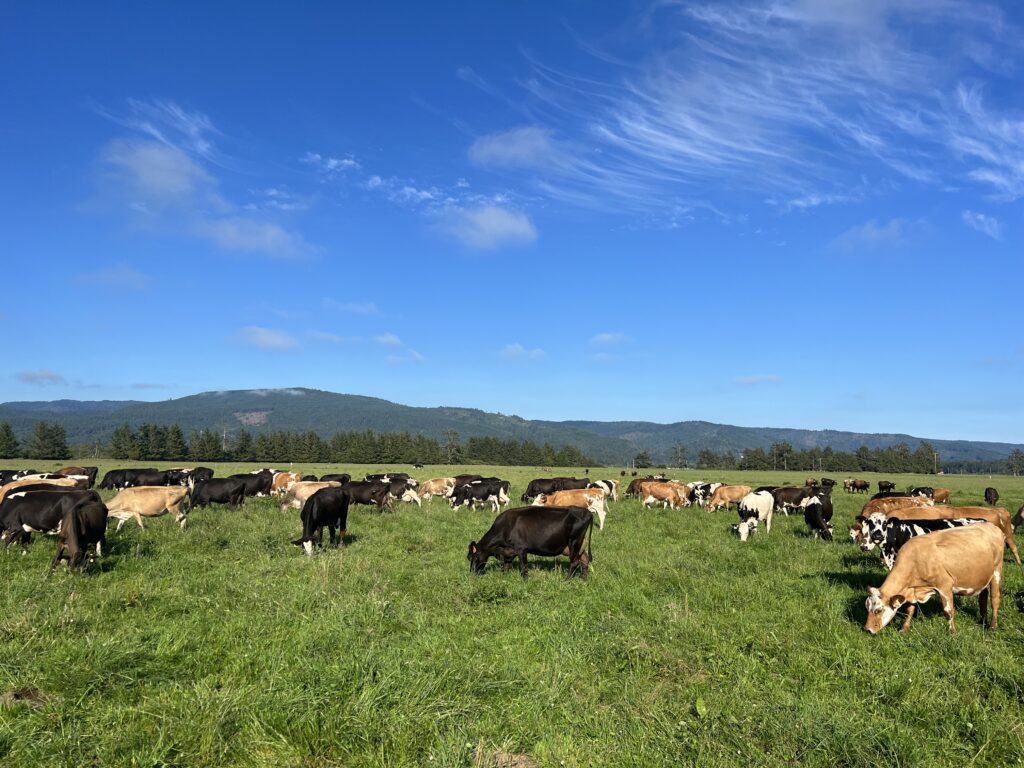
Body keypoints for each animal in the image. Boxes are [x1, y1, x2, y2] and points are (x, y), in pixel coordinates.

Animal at [860, 524, 1003, 638]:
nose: (867, 629)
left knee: (995, 600)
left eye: (878, 610)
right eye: (867, 607)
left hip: (996, 572)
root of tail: (992, 526)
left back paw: (992, 626)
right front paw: (904, 629)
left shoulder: (945, 586)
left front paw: (952, 633)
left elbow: (948, 611)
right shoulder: (912, 590)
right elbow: (909, 610)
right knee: (983, 596)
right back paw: (983, 620)